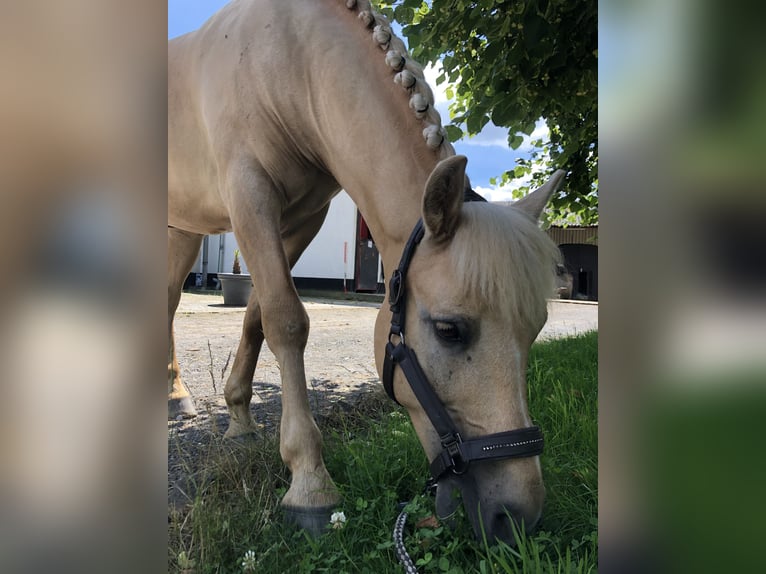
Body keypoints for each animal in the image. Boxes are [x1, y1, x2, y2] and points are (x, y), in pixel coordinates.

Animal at [170, 0, 564, 544]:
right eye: (449, 330)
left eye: (537, 329)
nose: (518, 517)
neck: (287, 57)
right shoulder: (249, 195)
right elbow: (286, 320)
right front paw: (310, 482)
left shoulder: (303, 218)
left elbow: (257, 315)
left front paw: (241, 421)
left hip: (183, 230)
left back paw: (175, 397)